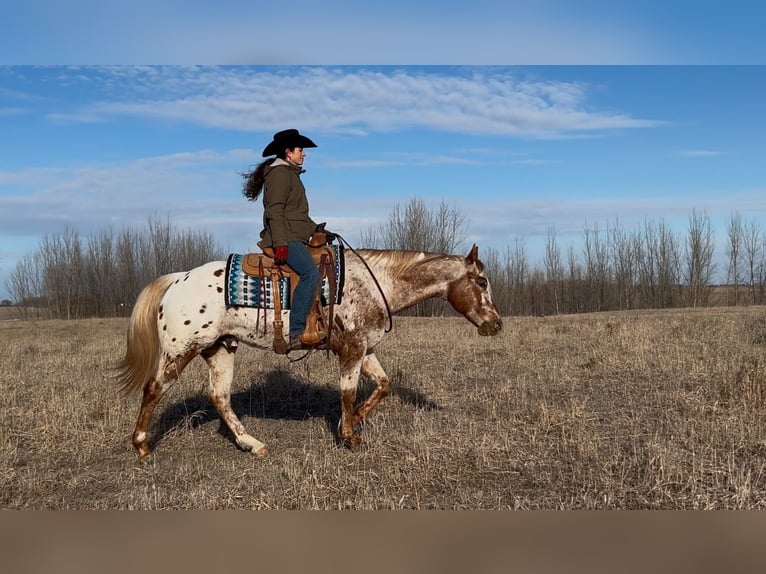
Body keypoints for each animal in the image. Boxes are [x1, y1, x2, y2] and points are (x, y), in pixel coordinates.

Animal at [115, 244, 504, 460]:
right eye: (482, 282)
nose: (496, 324)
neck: (373, 283)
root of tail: (177, 279)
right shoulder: (353, 348)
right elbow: (348, 392)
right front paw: (349, 436)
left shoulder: (366, 348)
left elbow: (383, 385)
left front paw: (356, 420)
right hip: (181, 351)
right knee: (154, 390)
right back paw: (142, 446)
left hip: (220, 349)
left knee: (219, 397)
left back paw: (252, 444)